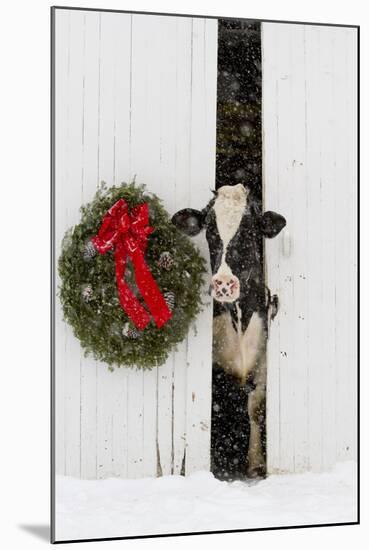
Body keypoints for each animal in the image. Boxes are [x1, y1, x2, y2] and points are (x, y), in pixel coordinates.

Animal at [171, 185, 286, 478]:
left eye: (249, 229)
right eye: (210, 230)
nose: (224, 283)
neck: (238, 316)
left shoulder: (263, 364)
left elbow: (255, 408)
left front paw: (256, 463)